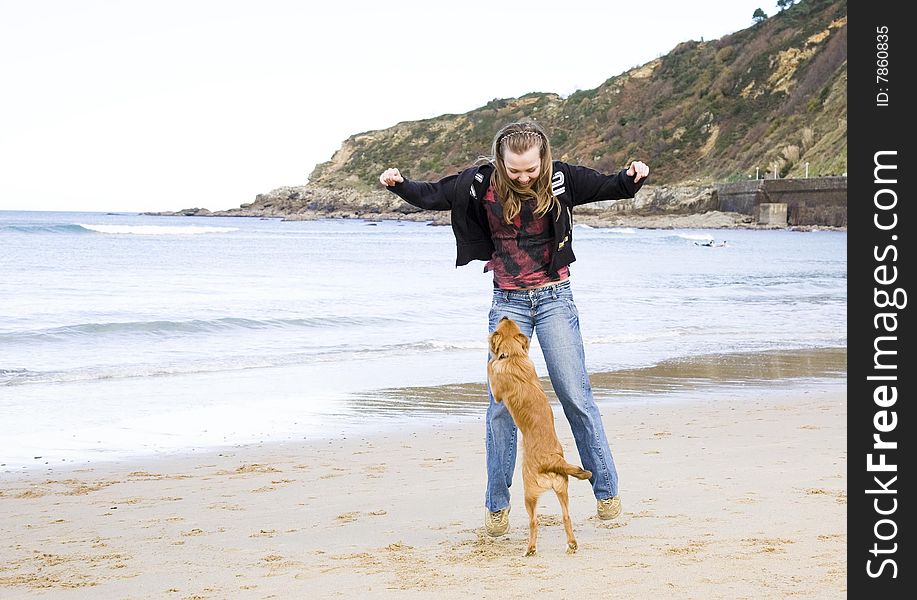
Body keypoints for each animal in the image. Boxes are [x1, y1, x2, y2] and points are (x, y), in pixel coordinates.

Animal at [486, 316, 592, 556]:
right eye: (510, 322)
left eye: (502, 324)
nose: (505, 316)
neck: (514, 357)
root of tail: (552, 461)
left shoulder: (497, 392)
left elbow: (491, 369)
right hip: (562, 489)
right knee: (566, 516)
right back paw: (571, 544)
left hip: (530, 493)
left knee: (534, 521)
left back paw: (530, 549)